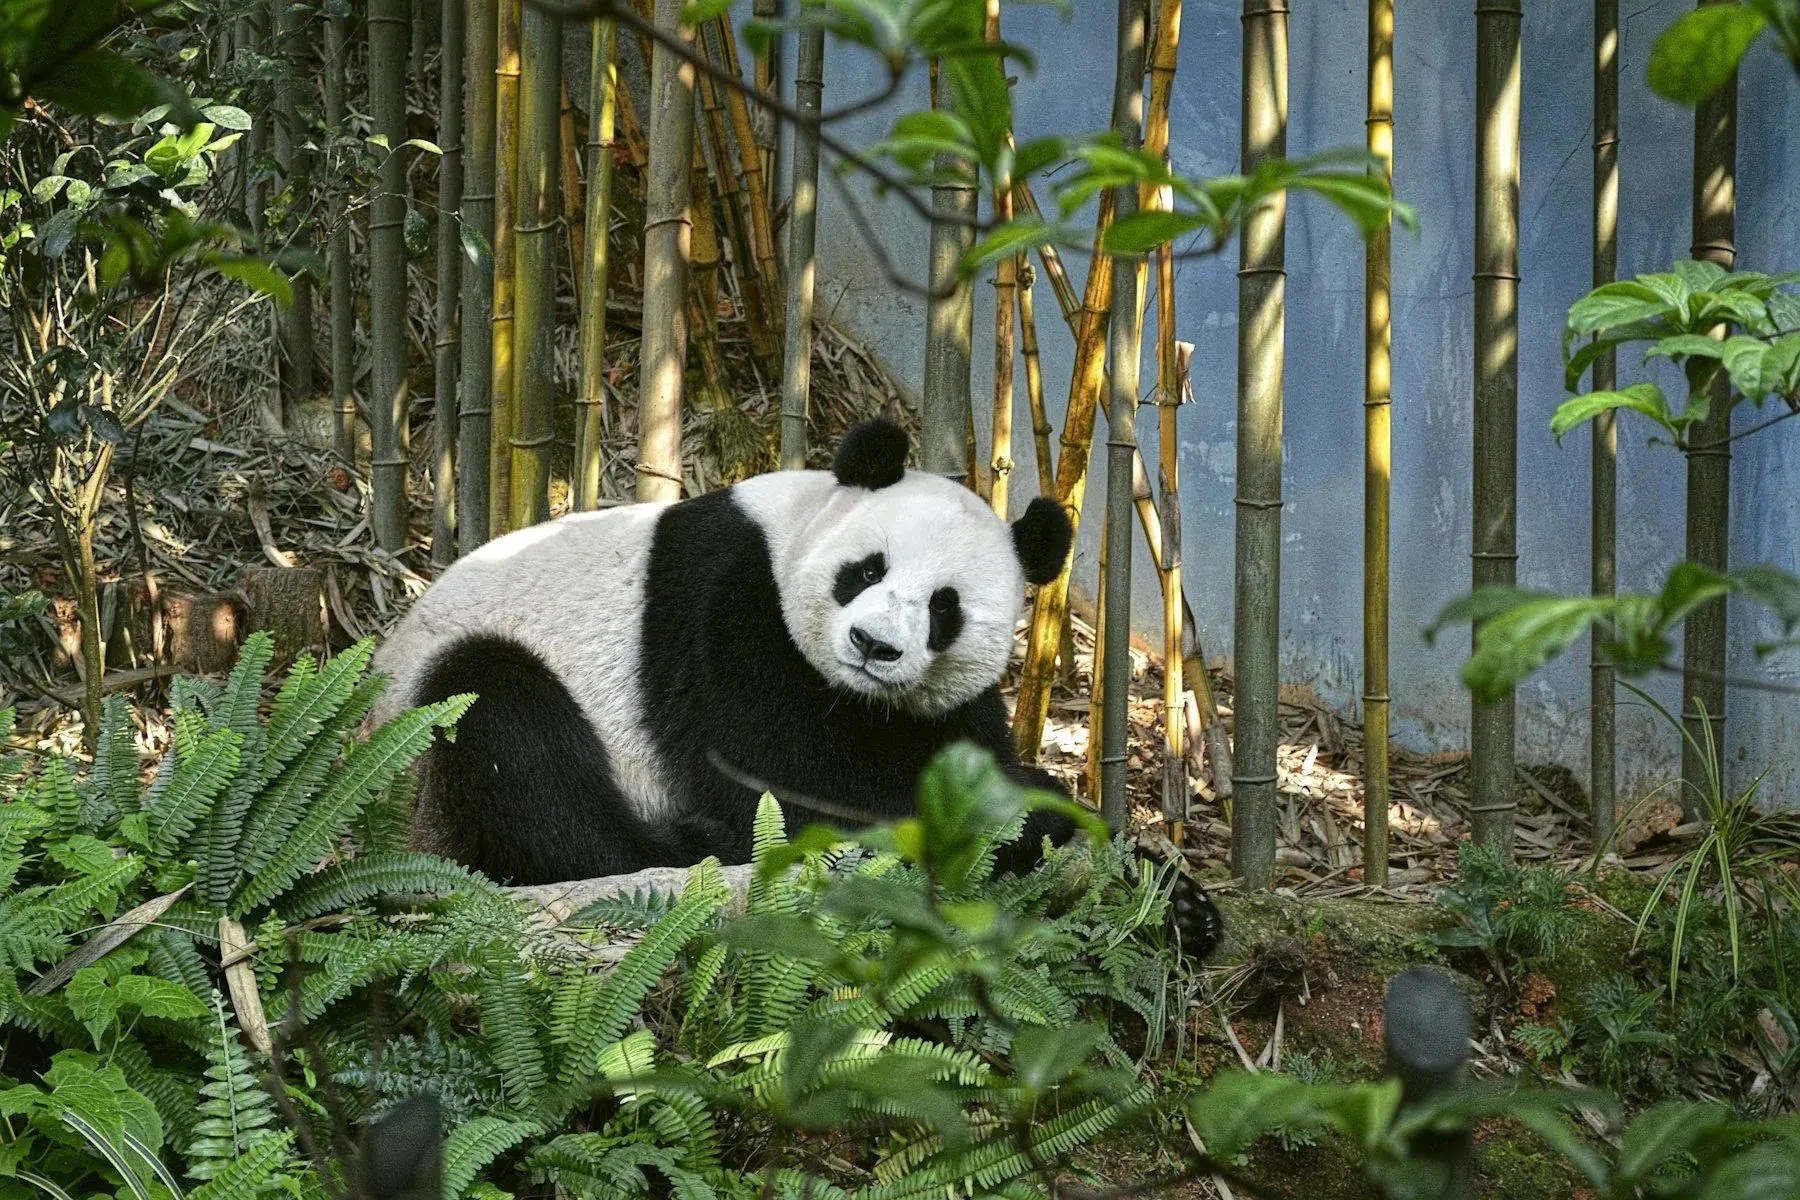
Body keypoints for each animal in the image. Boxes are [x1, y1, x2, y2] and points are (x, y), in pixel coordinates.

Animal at [372, 418, 1223, 960]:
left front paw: (1179, 903)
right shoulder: (726, 609)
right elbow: (783, 778)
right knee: (504, 728)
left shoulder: (942, 701)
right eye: (867, 570)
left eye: (944, 607)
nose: (875, 647)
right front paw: (1042, 817)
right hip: (429, 732)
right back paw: (678, 846)